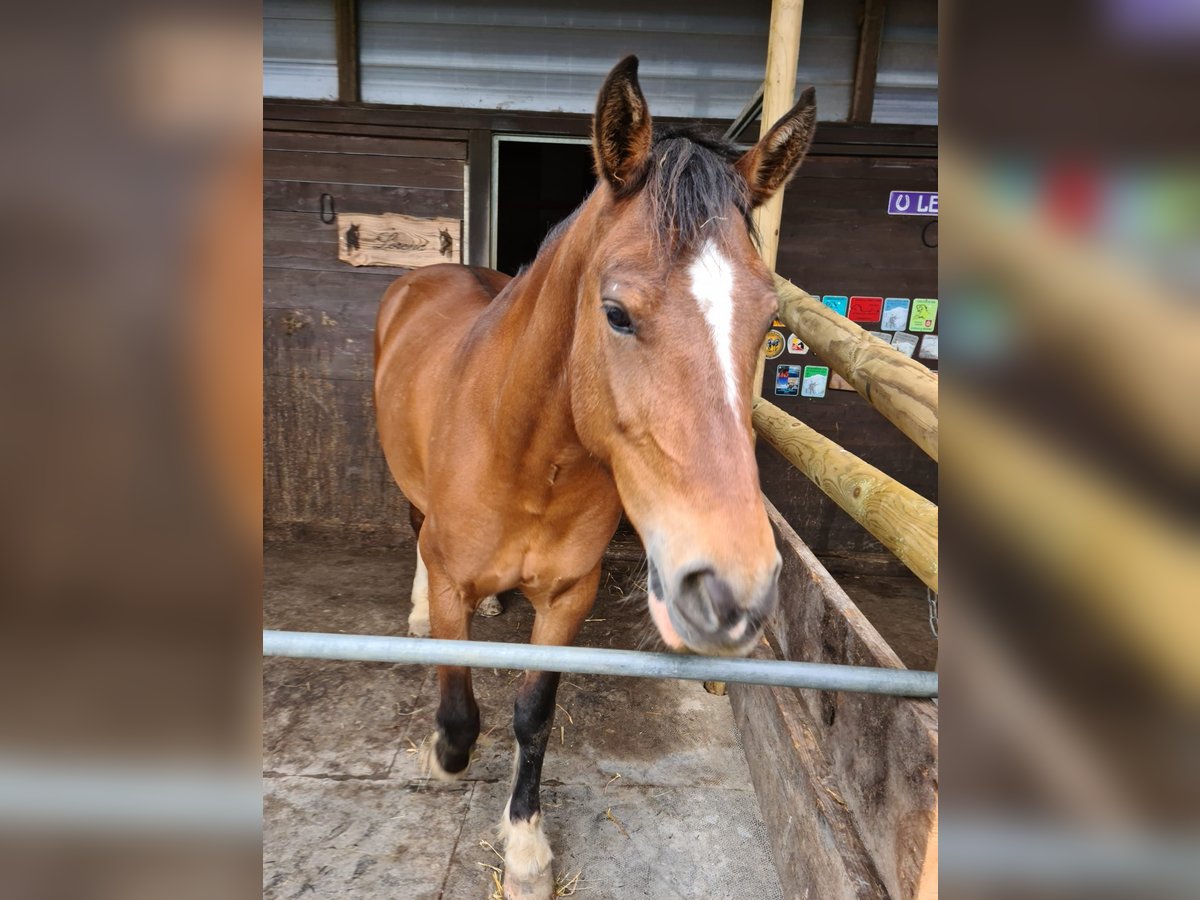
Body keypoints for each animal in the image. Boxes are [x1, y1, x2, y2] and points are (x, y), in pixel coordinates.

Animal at [374, 58, 816, 900]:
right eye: (615, 312)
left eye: (770, 323)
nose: (734, 589)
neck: (525, 458)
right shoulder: (452, 582)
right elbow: (459, 716)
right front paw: (438, 760)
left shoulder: (569, 598)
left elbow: (533, 716)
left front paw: (525, 849)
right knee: (412, 534)